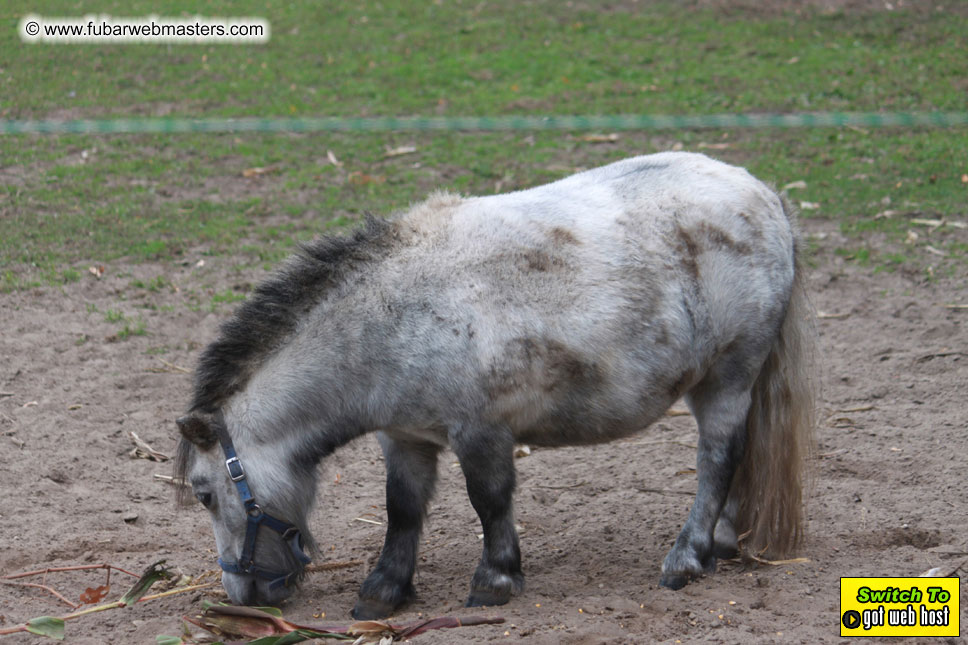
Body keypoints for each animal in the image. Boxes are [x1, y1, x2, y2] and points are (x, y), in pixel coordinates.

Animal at [176, 152, 816, 620]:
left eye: (205, 494)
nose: (242, 597)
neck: (392, 318)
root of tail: (764, 195)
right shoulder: (404, 439)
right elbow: (402, 509)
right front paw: (384, 590)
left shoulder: (480, 431)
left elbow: (489, 500)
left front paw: (496, 578)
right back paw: (722, 541)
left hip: (727, 378)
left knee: (718, 457)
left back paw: (688, 556)